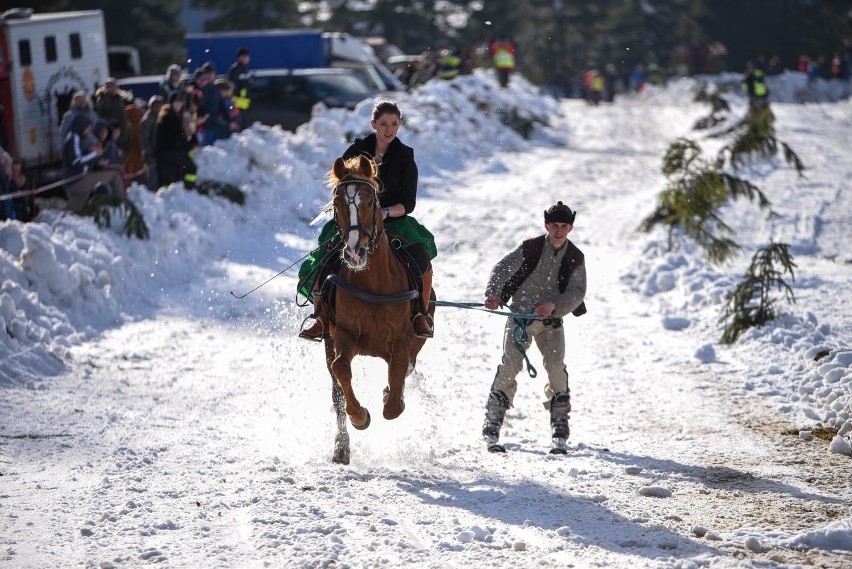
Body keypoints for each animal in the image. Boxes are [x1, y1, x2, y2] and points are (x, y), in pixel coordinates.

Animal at [322, 153, 436, 464]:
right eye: (337, 203)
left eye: (371, 203)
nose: (354, 253)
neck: (373, 285)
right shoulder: (342, 334)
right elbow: (341, 371)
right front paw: (360, 416)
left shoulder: (403, 340)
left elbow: (396, 395)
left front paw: (388, 398)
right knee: (335, 390)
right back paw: (341, 447)